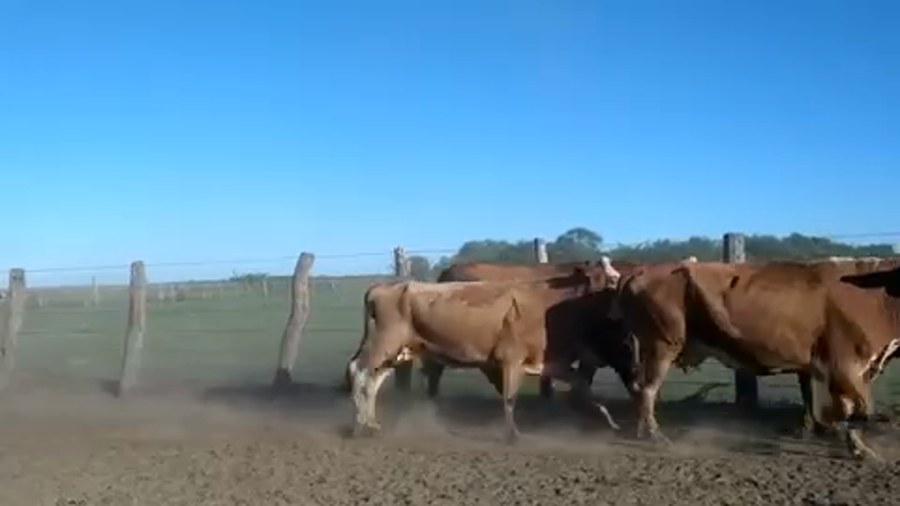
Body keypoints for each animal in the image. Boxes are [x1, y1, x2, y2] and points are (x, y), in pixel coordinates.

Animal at [347, 267, 634, 442]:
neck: (551, 309)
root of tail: (380, 288)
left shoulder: (553, 363)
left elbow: (586, 390)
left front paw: (612, 424)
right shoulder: (511, 360)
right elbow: (509, 398)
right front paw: (513, 435)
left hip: (395, 352)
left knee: (373, 380)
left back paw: (372, 424)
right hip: (382, 344)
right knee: (358, 371)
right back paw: (359, 425)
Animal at [615, 258, 900, 460]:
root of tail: (641, 271)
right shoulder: (847, 364)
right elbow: (858, 408)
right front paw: (860, 448)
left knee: (639, 388)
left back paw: (640, 431)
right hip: (662, 345)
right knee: (647, 390)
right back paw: (655, 436)